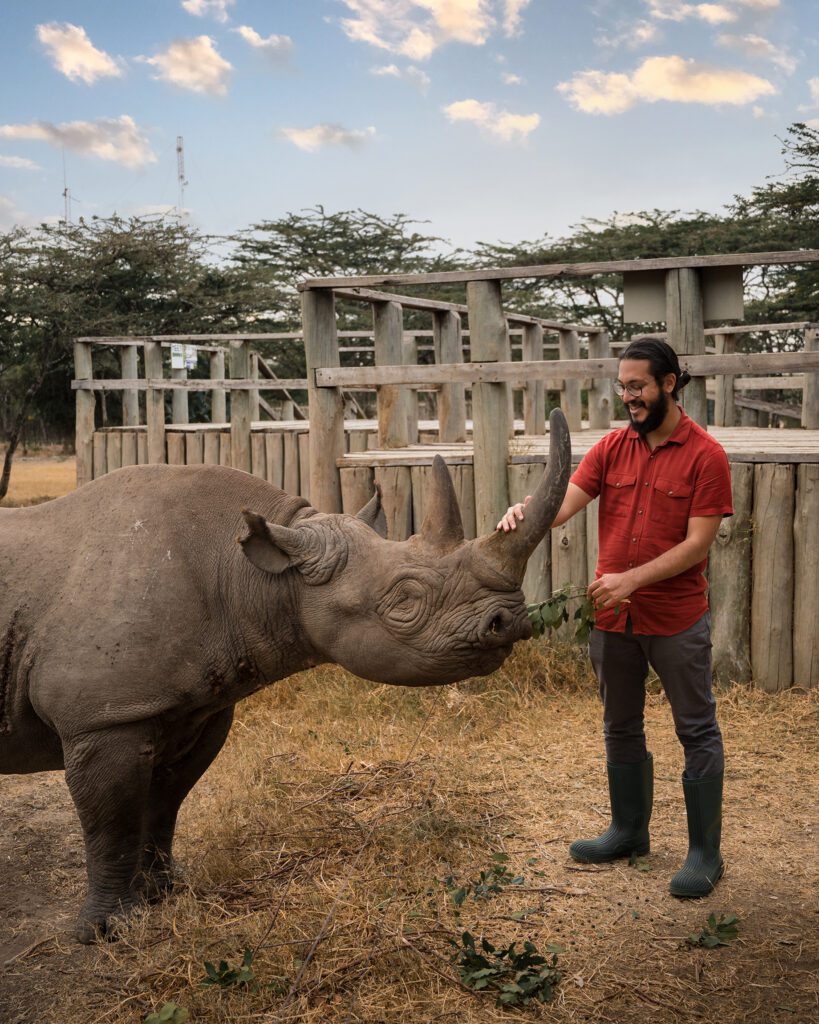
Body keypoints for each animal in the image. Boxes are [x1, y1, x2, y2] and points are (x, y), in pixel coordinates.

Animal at [0, 411, 570, 943]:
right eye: (404, 601)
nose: (511, 621)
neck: (253, 574)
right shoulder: (103, 717)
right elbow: (111, 823)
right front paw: (108, 931)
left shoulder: (194, 708)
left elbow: (164, 804)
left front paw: (165, 893)